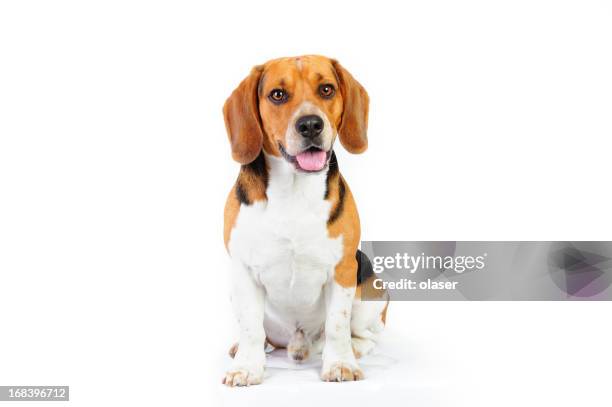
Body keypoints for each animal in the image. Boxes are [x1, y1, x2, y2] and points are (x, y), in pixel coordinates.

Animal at [224, 55, 388, 388]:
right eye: (277, 95)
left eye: (326, 89)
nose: (311, 124)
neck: (294, 189)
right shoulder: (243, 271)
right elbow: (250, 327)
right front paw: (246, 366)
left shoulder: (342, 270)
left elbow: (337, 324)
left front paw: (340, 364)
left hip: (372, 288)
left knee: (363, 336)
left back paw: (351, 348)